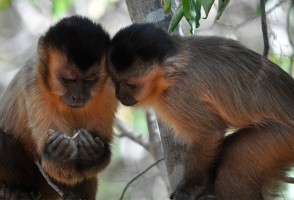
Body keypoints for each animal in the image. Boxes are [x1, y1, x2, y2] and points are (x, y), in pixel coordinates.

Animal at [0, 16, 117, 200]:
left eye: (90, 80)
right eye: (68, 80)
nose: (78, 97)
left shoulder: (110, 88)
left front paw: (93, 153)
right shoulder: (33, 83)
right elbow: (56, 167)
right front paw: (58, 154)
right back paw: (15, 190)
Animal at [107, 23, 294, 198]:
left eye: (132, 85)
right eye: (115, 81)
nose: (119, 95)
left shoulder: (178, 96)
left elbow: (210, 132)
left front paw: (190, 188)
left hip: (282, 138)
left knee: (232, 167)